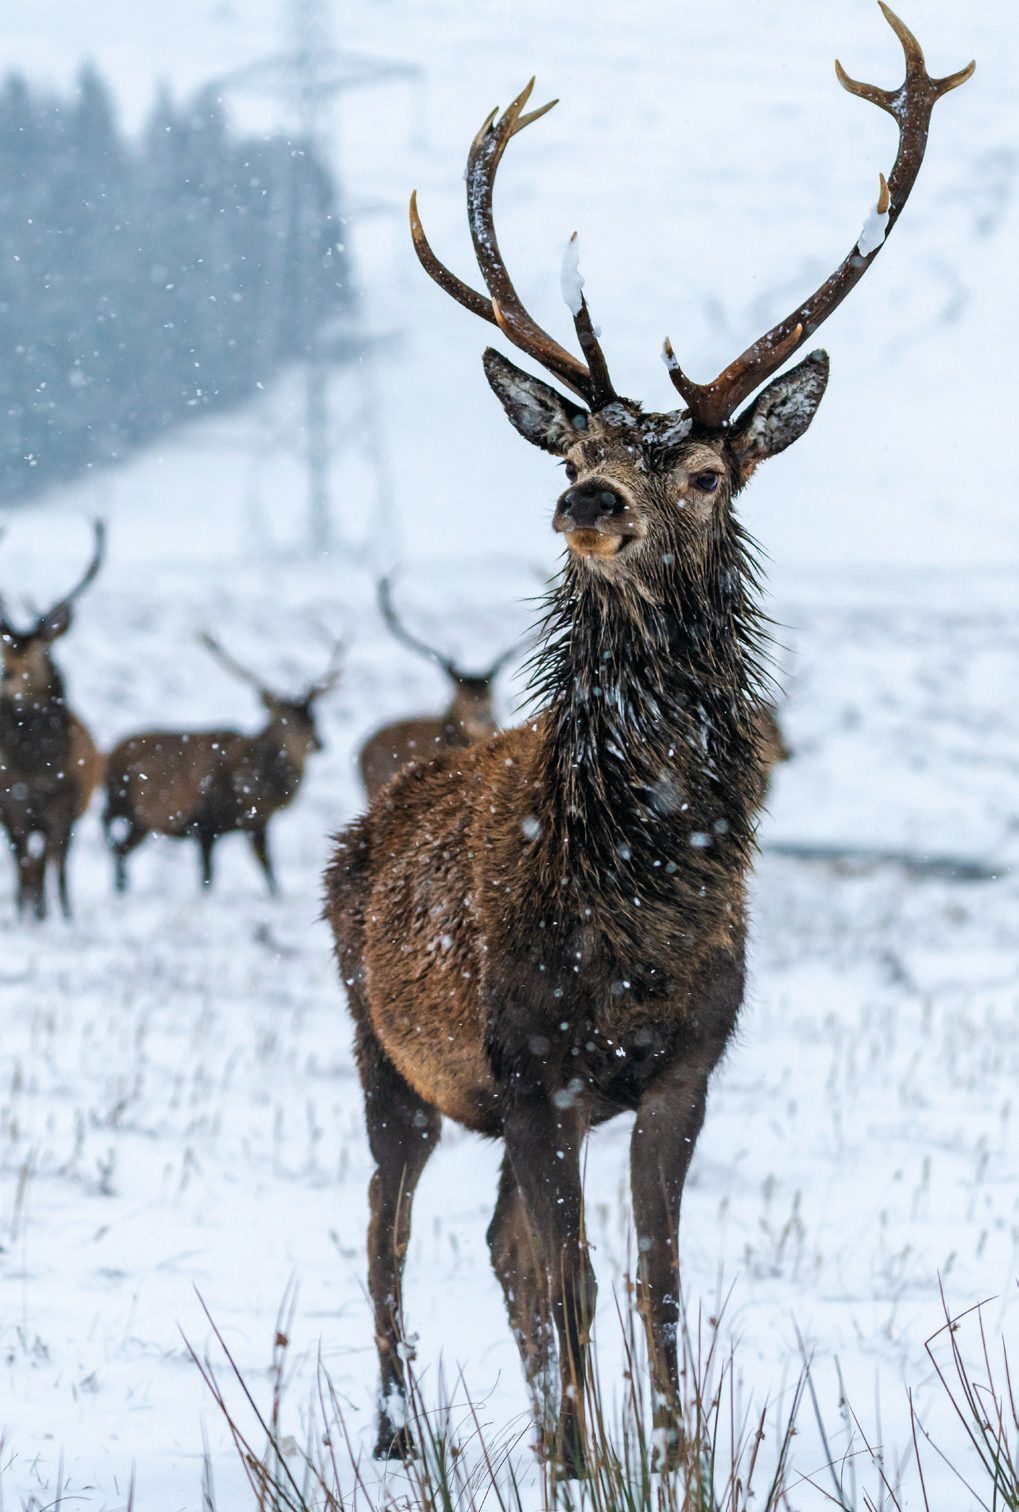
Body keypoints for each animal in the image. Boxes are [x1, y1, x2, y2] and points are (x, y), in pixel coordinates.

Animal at [0, 521, 106, 920]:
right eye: (3, 648)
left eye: (40, 649)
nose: (7, 674)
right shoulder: (11, 804)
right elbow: (23, 863)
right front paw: (25, 913)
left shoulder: (63, 807)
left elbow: (46, 861)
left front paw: (46, 914)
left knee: (58, 864)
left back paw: (62, 910)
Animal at [104, 632, 342, 895]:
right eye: (285, 720)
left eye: (315, 717)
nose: (319, 743)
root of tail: (110, 754)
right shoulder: (204, 824)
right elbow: (208, 877)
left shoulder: (257, 823)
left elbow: (268, 869)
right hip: (120, 802)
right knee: (111, 837)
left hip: (142, 822)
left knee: (122, 849)